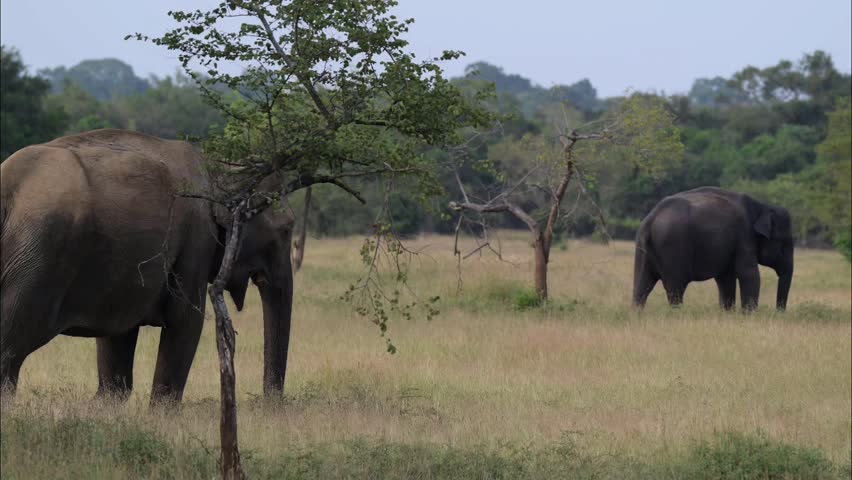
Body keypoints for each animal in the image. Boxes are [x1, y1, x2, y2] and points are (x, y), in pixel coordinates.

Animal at [1, 129, 294, 404]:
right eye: (286, 230)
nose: (269, 403)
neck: (216, 163)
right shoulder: (196, 239)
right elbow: (187, 321)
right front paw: (163, 412)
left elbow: (119, 334)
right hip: (38, 257)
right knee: (12, 346)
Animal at [632, 186, 794, 311]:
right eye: (784, 243)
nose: (779, 312)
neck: (762, 207)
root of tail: (650, 219)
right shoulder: (744, 237)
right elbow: (749, 274)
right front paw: (749, 315)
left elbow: (726, 278)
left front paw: (727, 313)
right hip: (672, 247)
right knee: (675, 289)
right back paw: (677, 314)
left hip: (643, 249)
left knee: (641, 285)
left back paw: (637, 314)